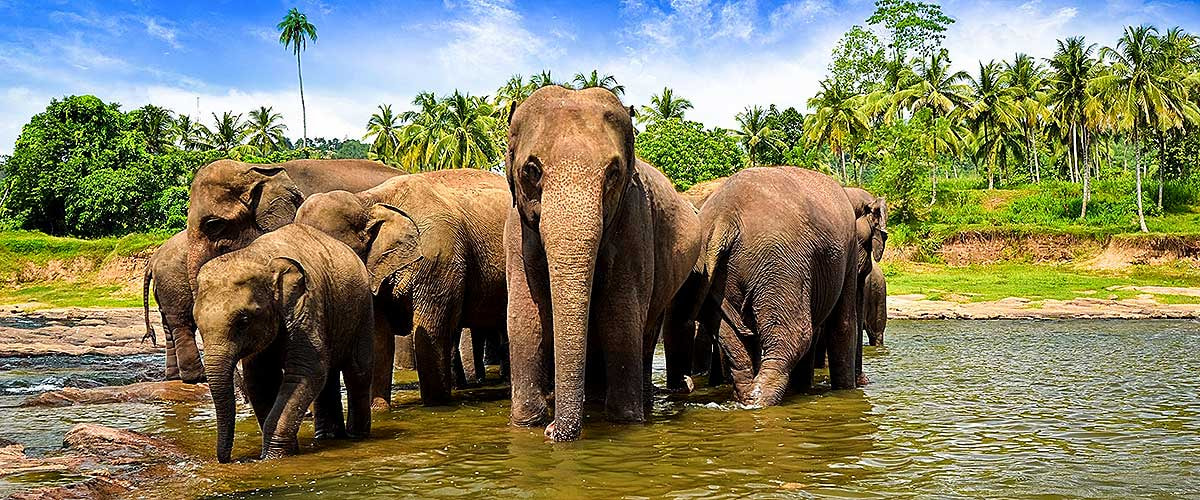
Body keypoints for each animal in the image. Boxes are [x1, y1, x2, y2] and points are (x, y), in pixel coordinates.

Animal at [142, 230, 203, 382]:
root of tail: (151, 261)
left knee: (168, 326)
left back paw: (174, 376)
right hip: (174, 283)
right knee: (182, 323)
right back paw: (197, 377)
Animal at [194, 223, 374, 463]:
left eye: (244, 321)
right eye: (197, 323)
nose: (229, 459)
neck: (259, 256)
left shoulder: (306, 306)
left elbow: (305, 372)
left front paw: (274, 457)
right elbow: (260, 379)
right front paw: (277, 453)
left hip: (362, 310)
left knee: (357, 371)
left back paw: (357, 436)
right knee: (329, 377)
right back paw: (328, 437)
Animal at [295, 169, 510, 407]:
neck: (368, 200)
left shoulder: (438, 257)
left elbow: (431, 333)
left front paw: (436, 405)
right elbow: (380, 338)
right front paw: (380, 409)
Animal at [504, 86, 702, 441]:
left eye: (613, 173)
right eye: (532, 170)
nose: (553, 431)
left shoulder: (634, 219)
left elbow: (619, 313)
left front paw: (625, 420)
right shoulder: (517, 229)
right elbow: (525, 317)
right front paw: (527, 423)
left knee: (646, 330)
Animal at [691, 166, 860, 407]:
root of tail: (725, 217)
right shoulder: (849, 251)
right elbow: (843, 323)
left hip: (713, 268)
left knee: (733, 337)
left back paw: (747, 398)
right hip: (780, 264)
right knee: (795, 336)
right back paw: (760, 400)